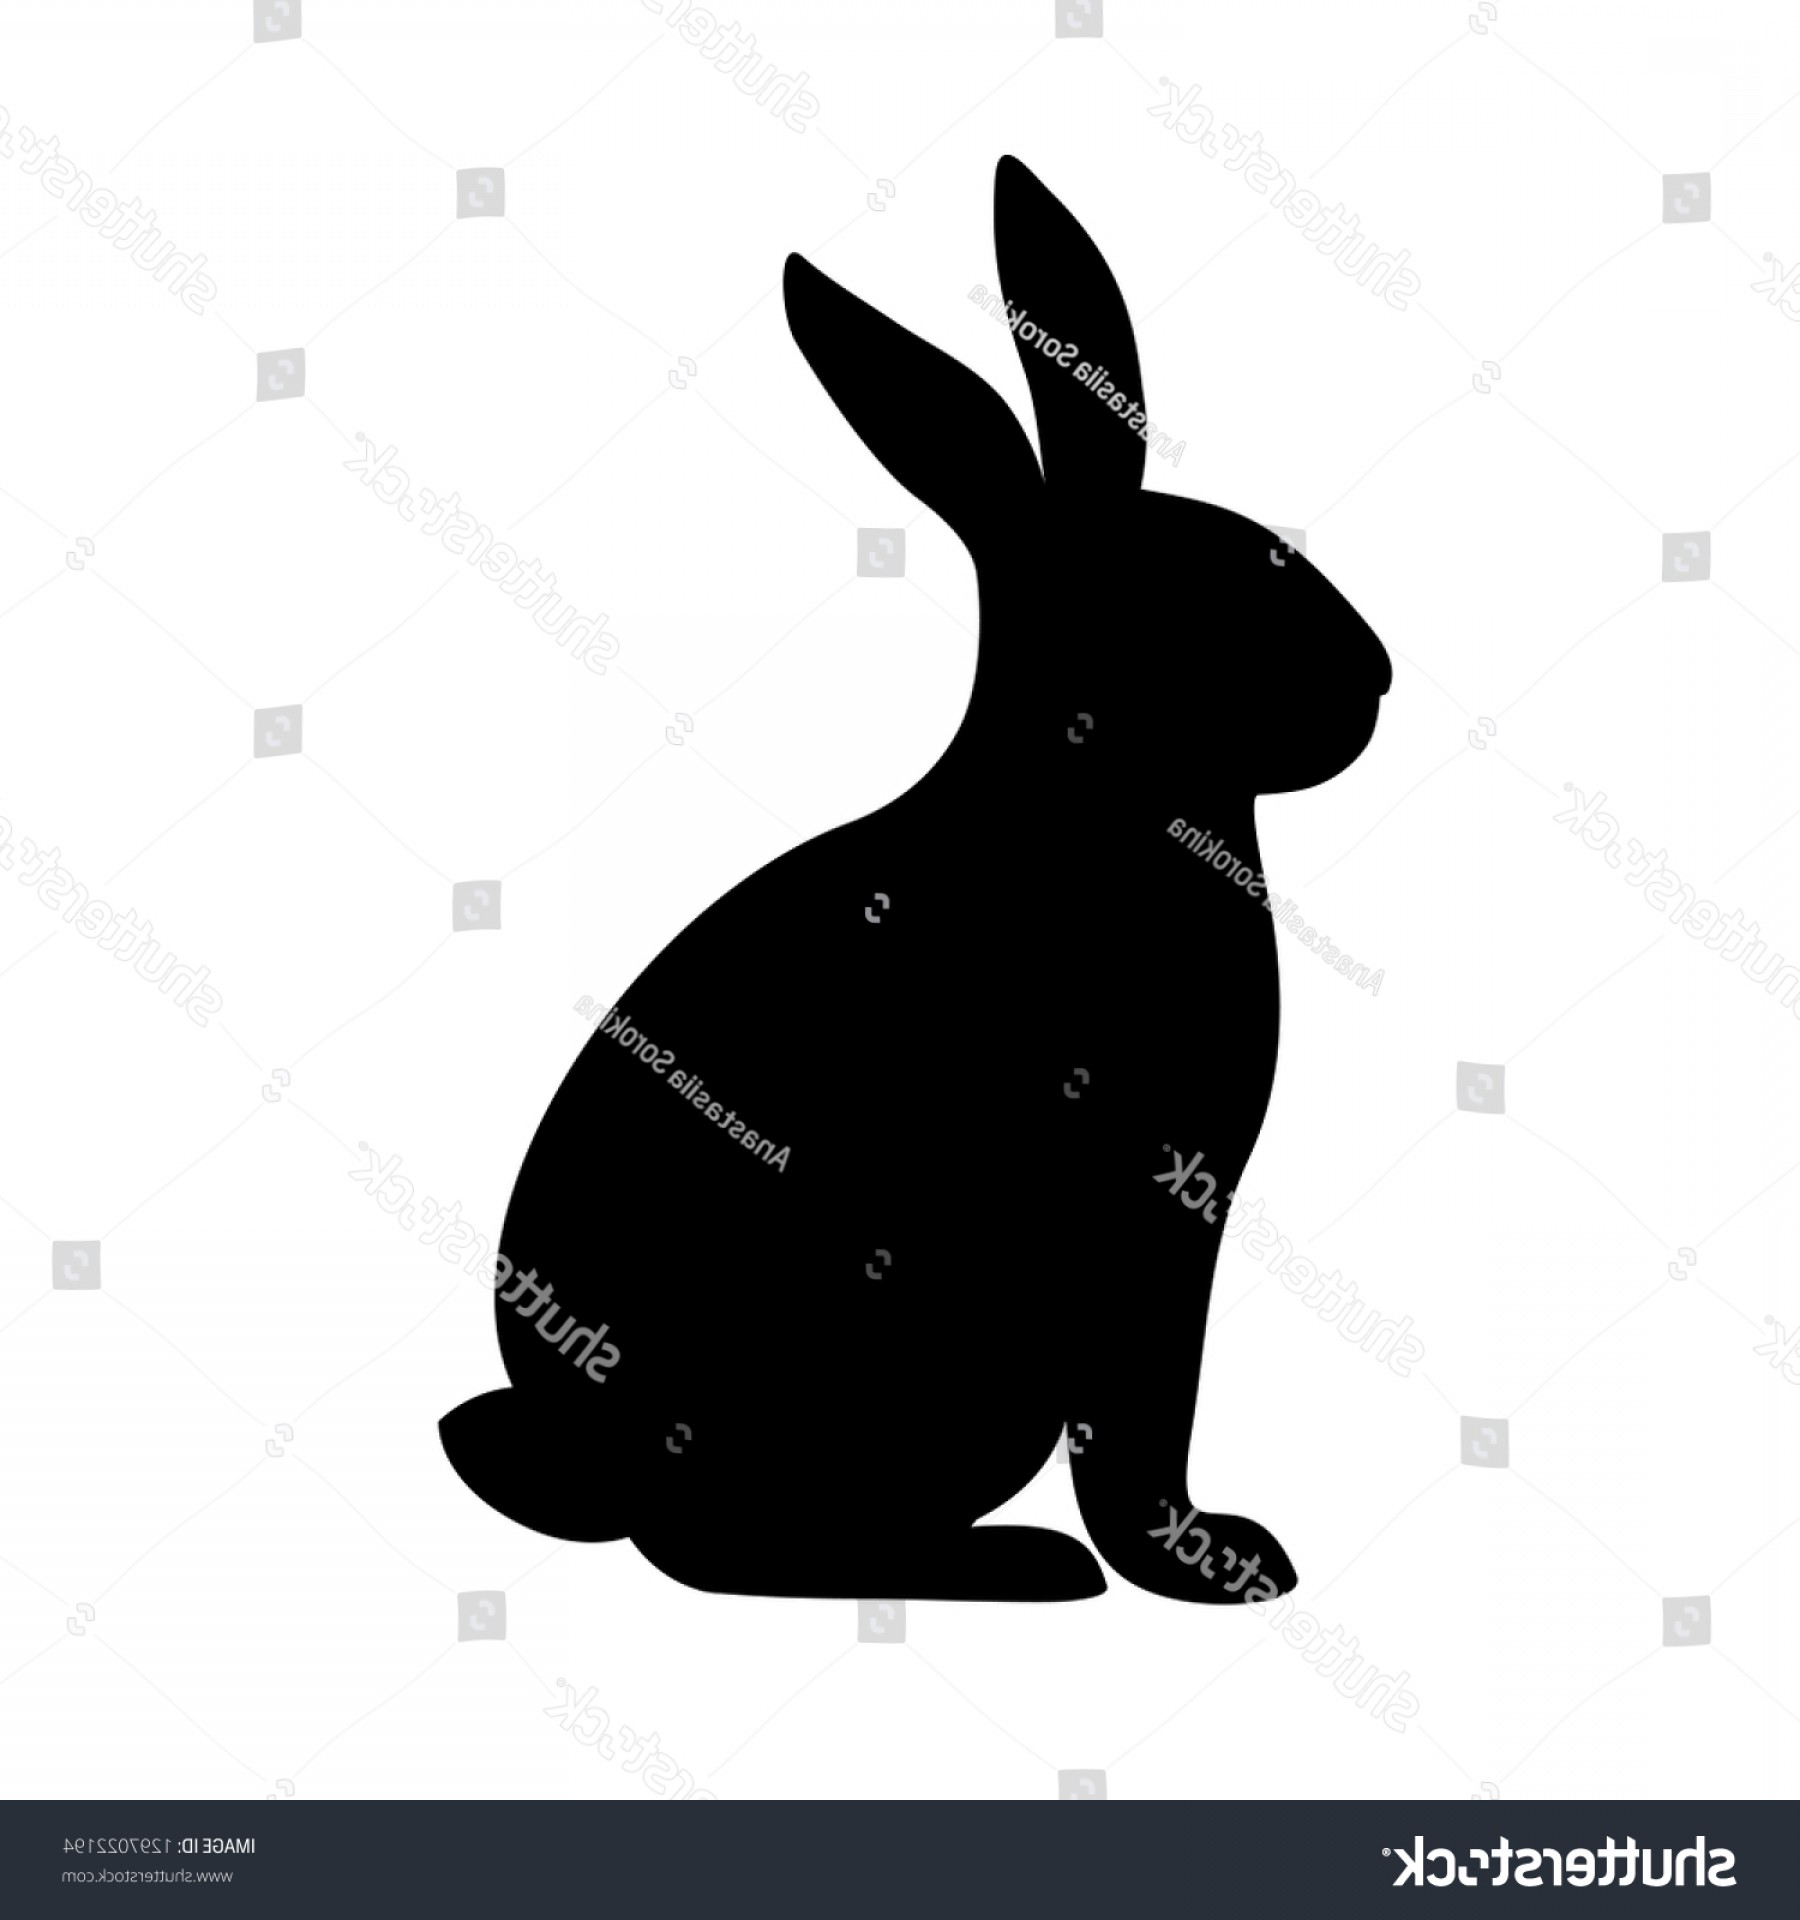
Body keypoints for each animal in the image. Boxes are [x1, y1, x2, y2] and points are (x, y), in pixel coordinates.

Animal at [439, 155, 1391, 1603]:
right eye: (1220, 590)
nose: (1377, 676)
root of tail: (599, 1463)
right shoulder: (1152, 1232)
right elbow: (1140, 1425)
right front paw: (1211, 1565)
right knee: (712, 1547)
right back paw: (1016, 1567)